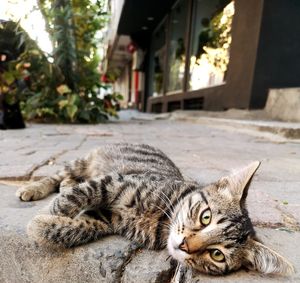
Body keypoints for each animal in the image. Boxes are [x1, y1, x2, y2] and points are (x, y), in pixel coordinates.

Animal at [15, 143, 292, 276]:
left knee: (69, 180)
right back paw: (35, 188)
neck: (161, 220)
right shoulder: (113, 183)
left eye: (217, 255)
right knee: (60, 175)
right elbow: (75, 198)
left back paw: (64, 185)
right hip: (84, 161)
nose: (184, 246)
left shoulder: (106, 218)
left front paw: (42, 224)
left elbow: (79, 228)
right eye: (205, 217)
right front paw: (44, 214)